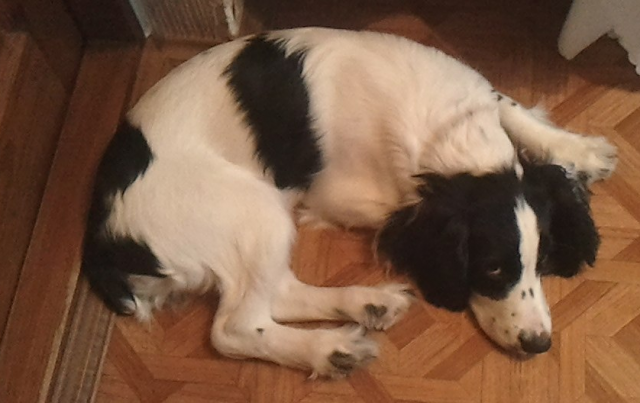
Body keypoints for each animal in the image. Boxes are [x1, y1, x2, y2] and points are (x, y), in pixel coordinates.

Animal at [83, 27, 617, 377]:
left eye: (542, 262)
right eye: (492, 269)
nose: (539, 344)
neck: (449, 133)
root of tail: (104, 235)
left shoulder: (478, 93)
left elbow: (511, 107)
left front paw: (581, 151)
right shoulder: (345, 193)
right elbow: (396, 212)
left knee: (278, 293)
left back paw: (368, 303)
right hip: (254, 210)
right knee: (237, 326)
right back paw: (329, 348)